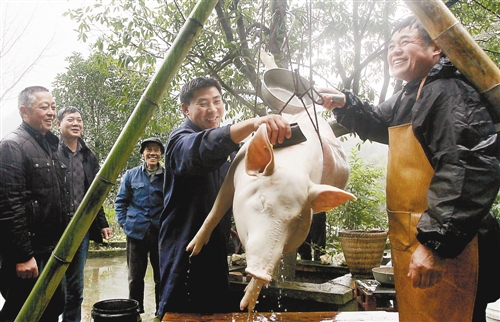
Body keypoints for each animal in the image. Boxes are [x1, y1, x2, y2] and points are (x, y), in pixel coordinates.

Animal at [186, 110, 354, 312]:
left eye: (296, 219)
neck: (292, 164)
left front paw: (246, 307)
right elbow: (217, 209)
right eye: (262, 200)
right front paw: (191, 251)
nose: (260, 272)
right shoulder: (233, 170)